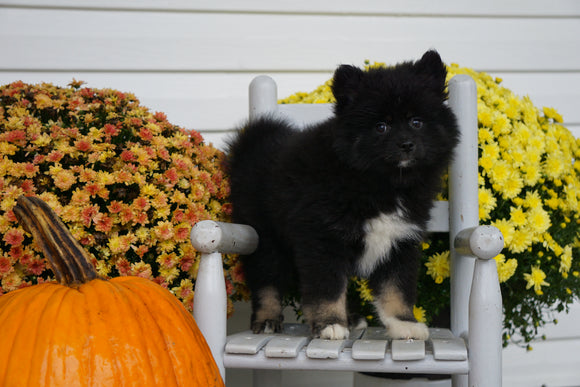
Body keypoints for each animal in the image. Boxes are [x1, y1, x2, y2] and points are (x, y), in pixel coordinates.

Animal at [225, 50, 458, 340]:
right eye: (381, 127)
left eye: (417, 122)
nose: (406, 145)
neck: (381, 183)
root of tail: (254, 146)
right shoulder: (323, 238)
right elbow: (327, 287)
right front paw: (330, 323)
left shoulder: (399, 241)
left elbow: (397, 288)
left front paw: (404, 323)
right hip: (265, 236)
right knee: (267, 280)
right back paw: (267, 319)